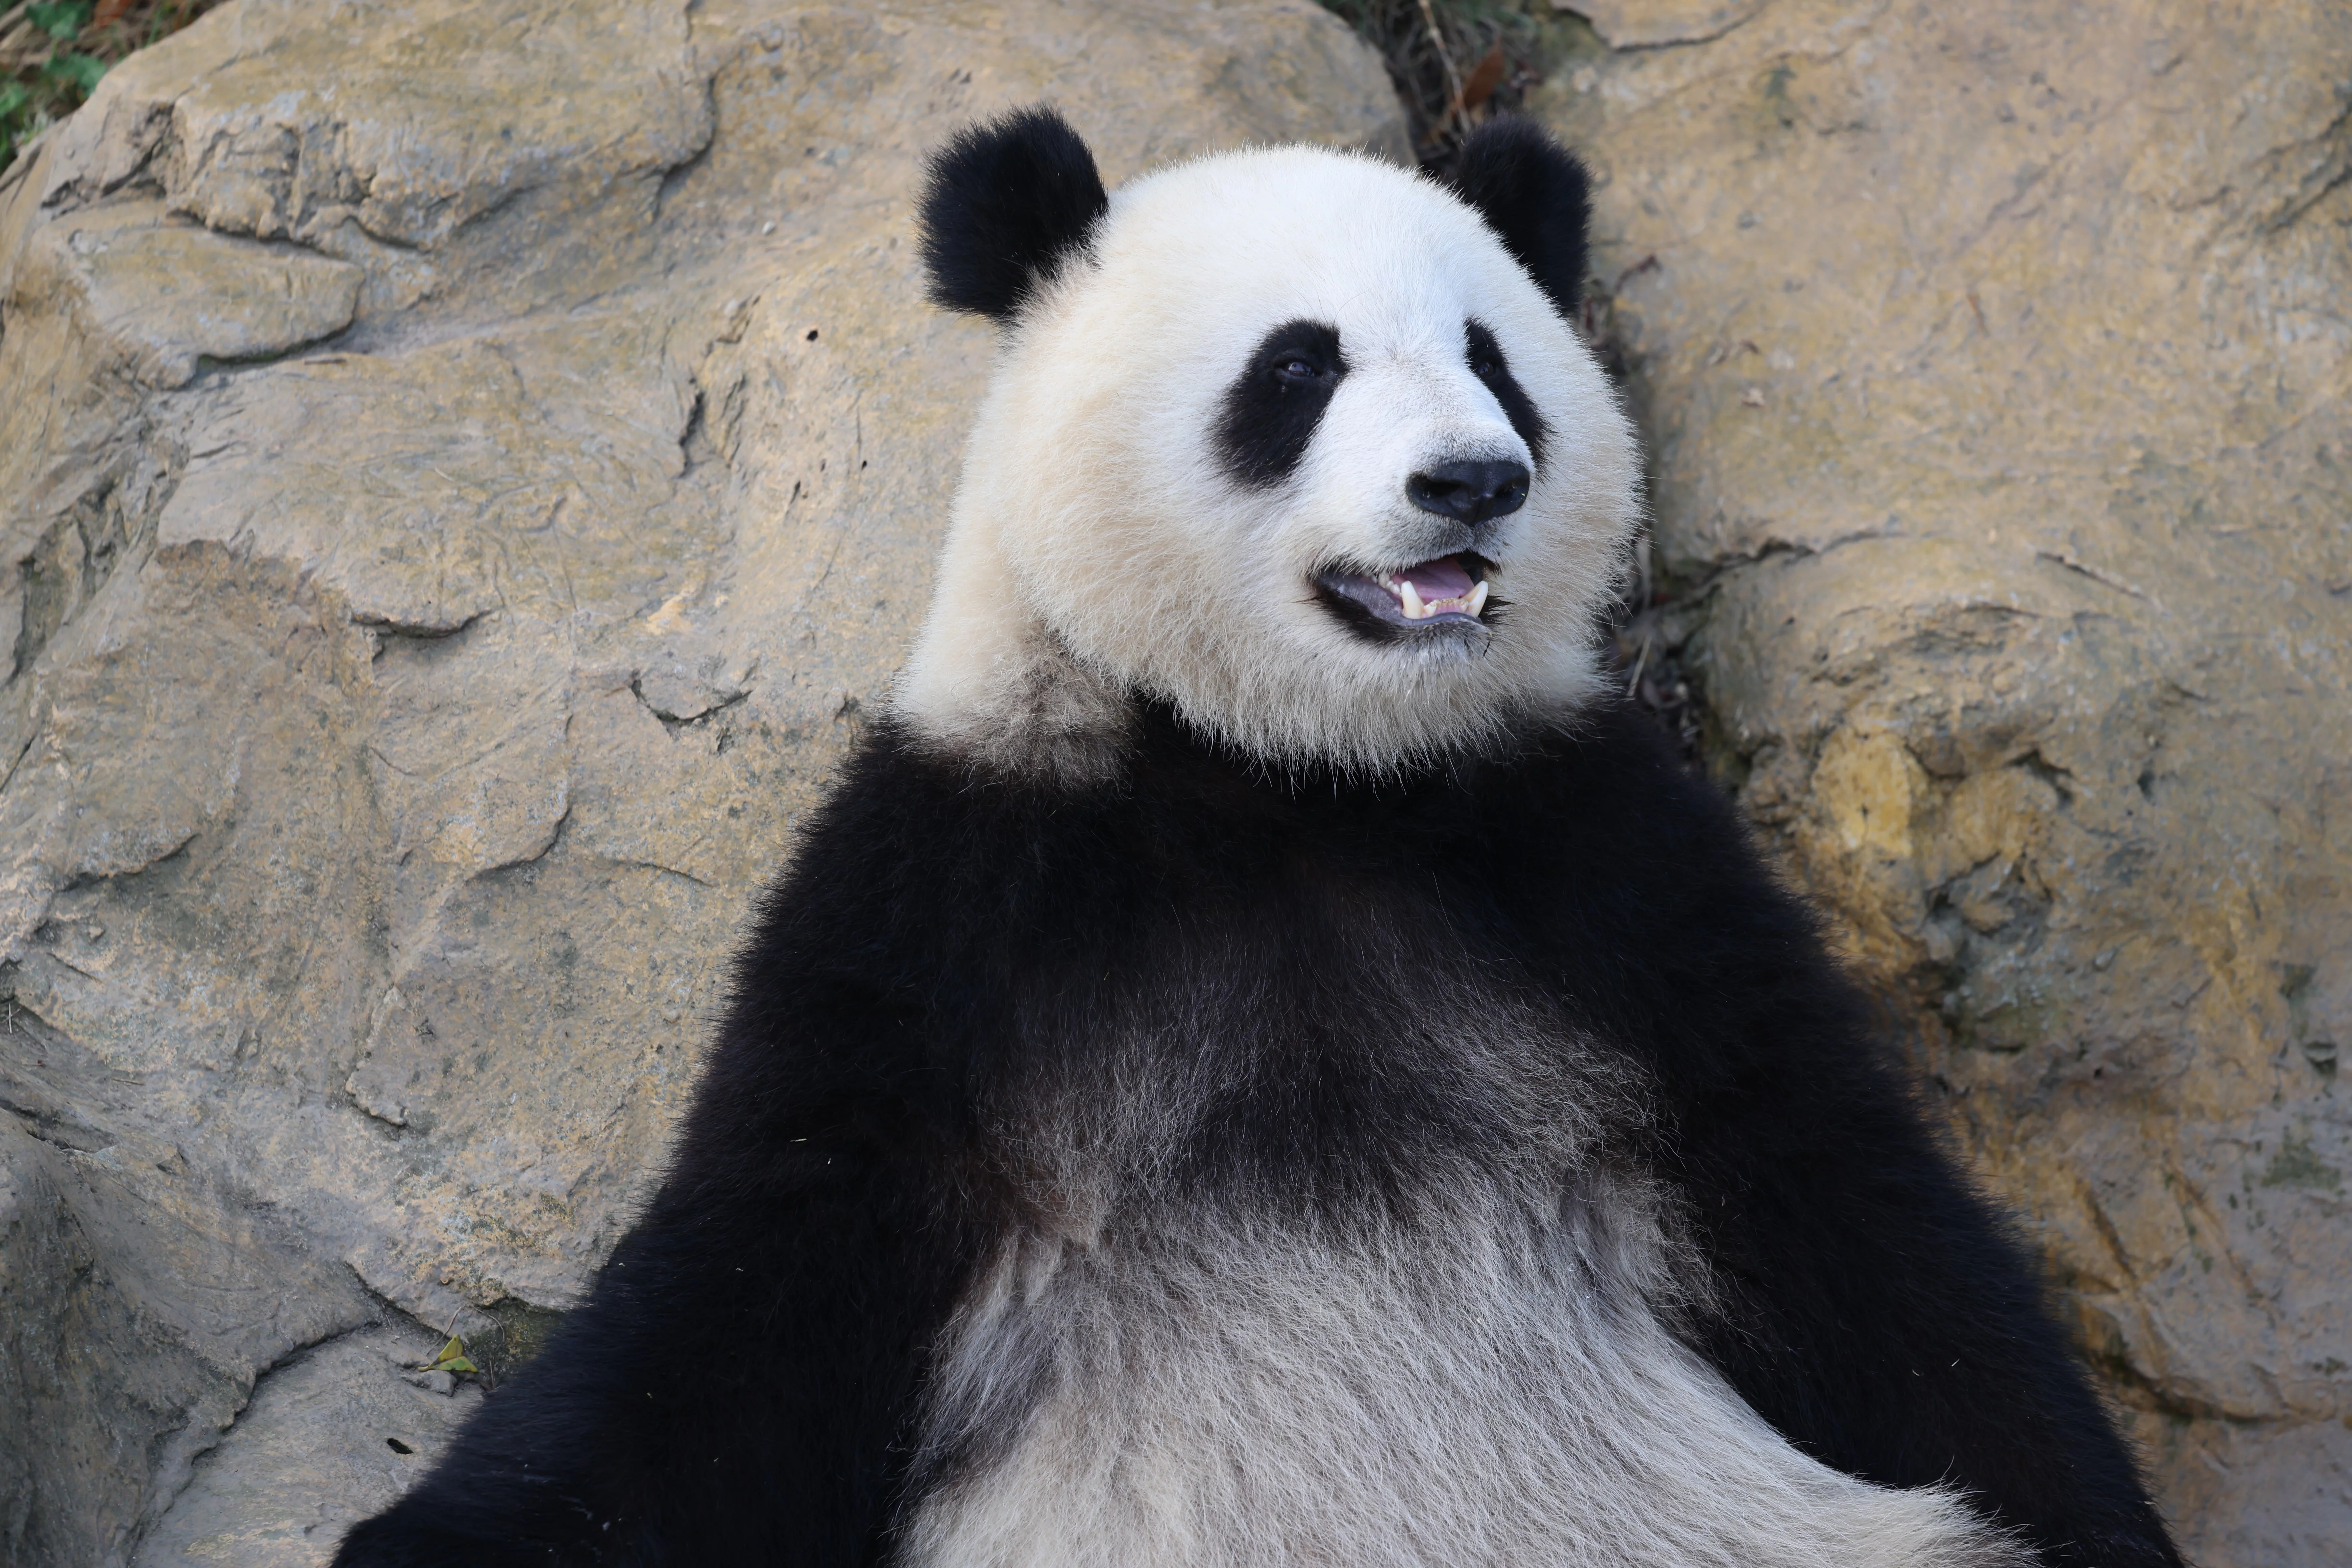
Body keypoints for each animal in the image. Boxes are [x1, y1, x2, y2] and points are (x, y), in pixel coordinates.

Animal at [335, 109, 2182, 1568]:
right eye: (1298, 369)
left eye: (1496, 361)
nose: (1472, 480)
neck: (1286, 777)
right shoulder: (955, 896)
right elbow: (756, 1281)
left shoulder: (1596, 856)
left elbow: (1843, 1207)